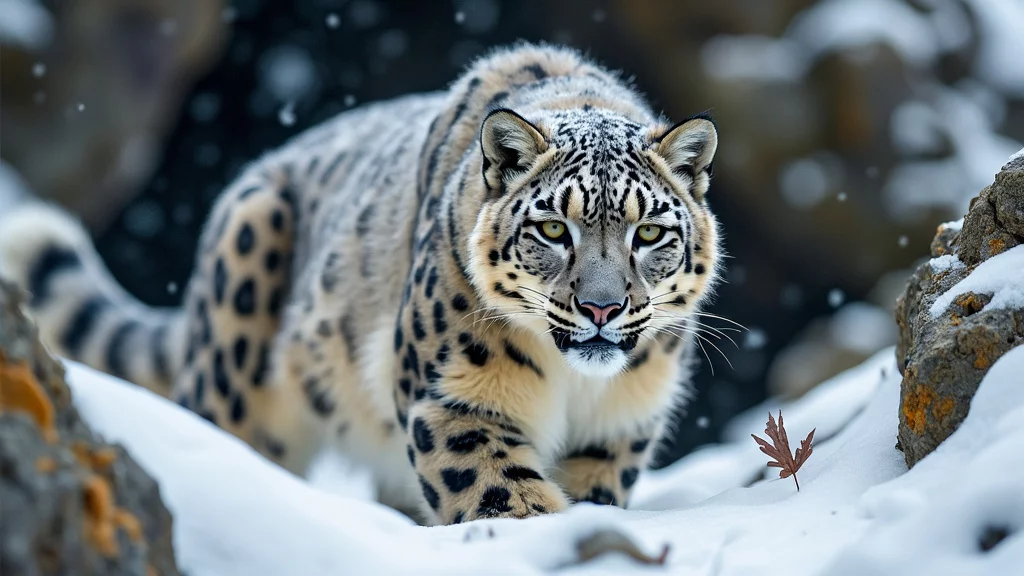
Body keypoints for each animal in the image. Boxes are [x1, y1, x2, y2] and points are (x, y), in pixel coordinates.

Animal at [0, 42, 720, 522]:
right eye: (551, 229)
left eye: (649, 233)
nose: (602, 308)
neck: (575, 386)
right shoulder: (454, 399)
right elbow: (499, 493)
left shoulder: (620, 427)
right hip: (237, 341)